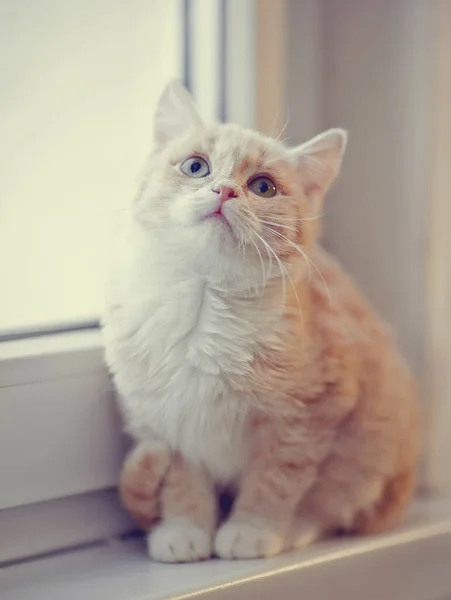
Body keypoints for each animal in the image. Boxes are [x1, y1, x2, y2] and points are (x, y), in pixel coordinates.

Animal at [102, 79, 420, 564]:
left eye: (263, 186)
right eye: (196, 167)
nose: (224, 191)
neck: (204, 305)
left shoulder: (312, 413)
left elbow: (278, 479)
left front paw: (252, 529)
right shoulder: (164, 419)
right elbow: (180, 479)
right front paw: (184, 529)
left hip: (372, 447)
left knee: (335, 502)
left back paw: (297, 529)